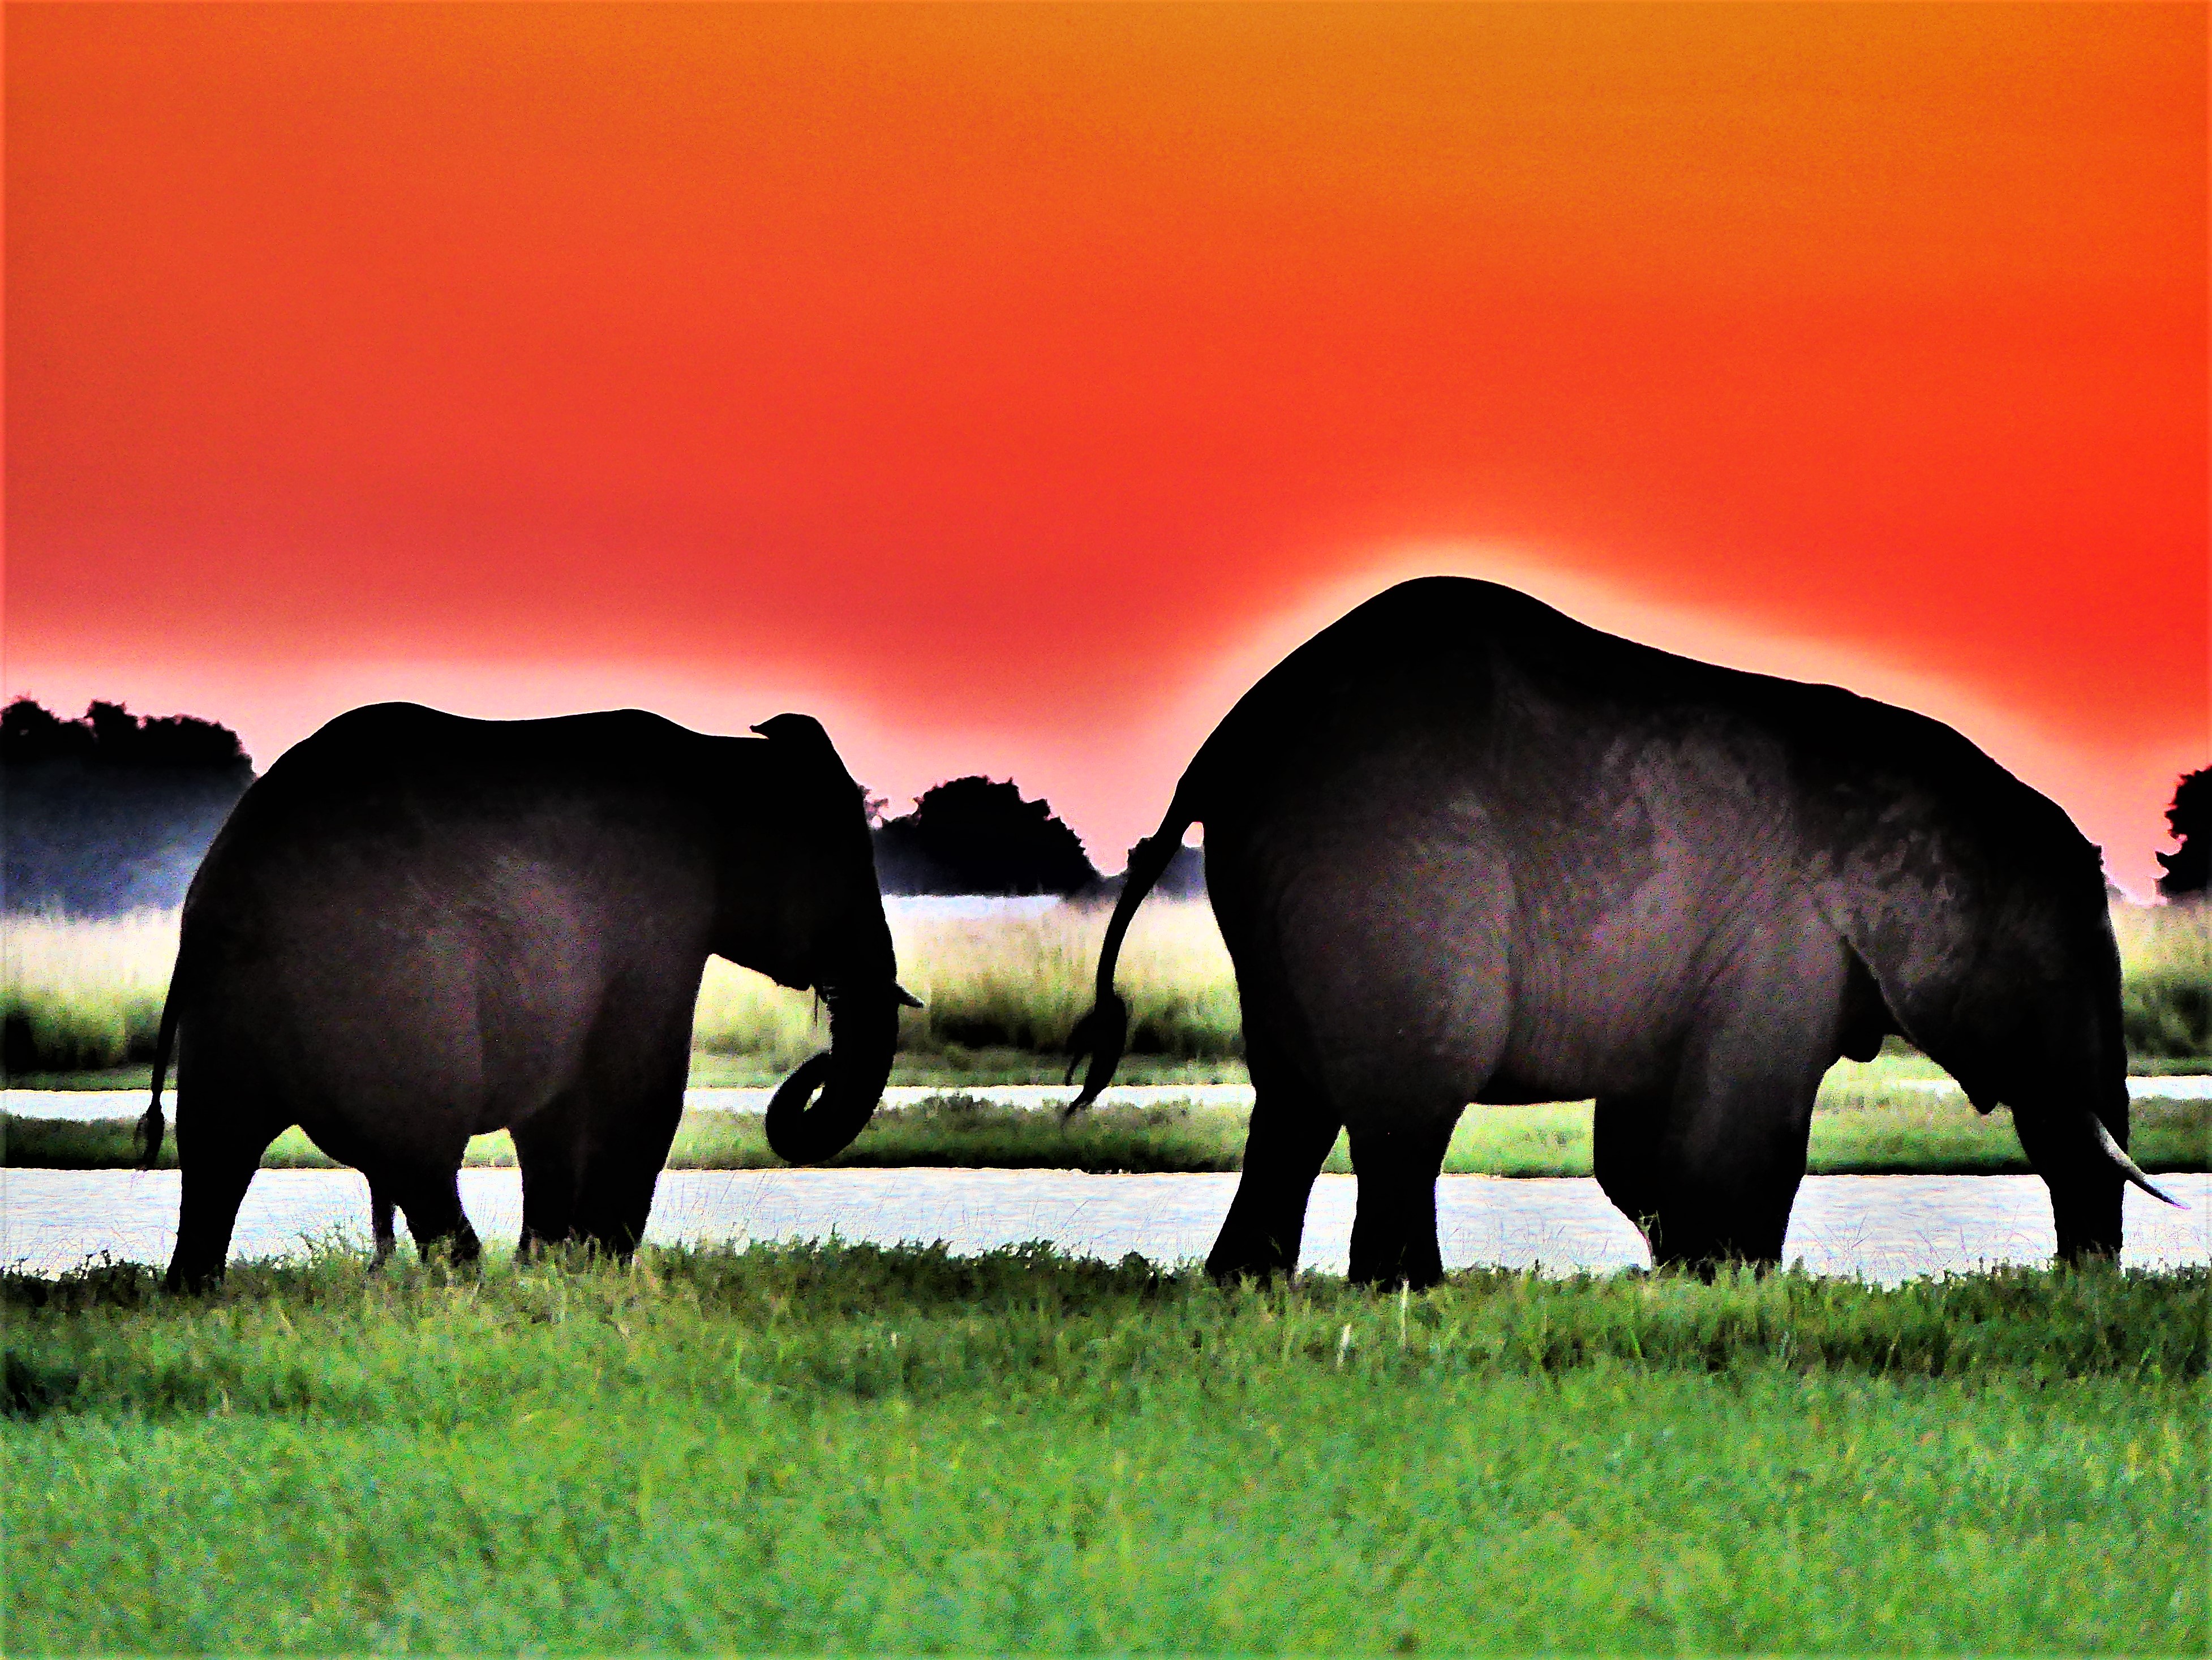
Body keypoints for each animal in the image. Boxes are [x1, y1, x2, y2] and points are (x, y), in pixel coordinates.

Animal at [137, 703, 913, 1290]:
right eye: (844, 869)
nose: (815, 1065)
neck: (722, 756)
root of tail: (217, 901)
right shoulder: (658, 922)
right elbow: (644, 1091)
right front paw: (599, 1273)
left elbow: (554, 1112)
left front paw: (553, 1271)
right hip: (385, 994)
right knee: (417, 1150)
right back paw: (468, 1282)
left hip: (233, 1007)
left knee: (217, 1150)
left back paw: (194, 1292)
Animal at [1066, 577, 2175, 1286]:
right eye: (2061, 962)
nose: (2080, 1281)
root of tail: (1225, 742)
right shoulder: (1788, 934)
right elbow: (1740, 1132)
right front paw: (1731, 1283)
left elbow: (1643, 1142)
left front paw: (1691, 1278)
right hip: (1390, 879)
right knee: (1407, 1104)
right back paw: (1405, 1292)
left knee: (1290, 1105)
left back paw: (1246, 1287)